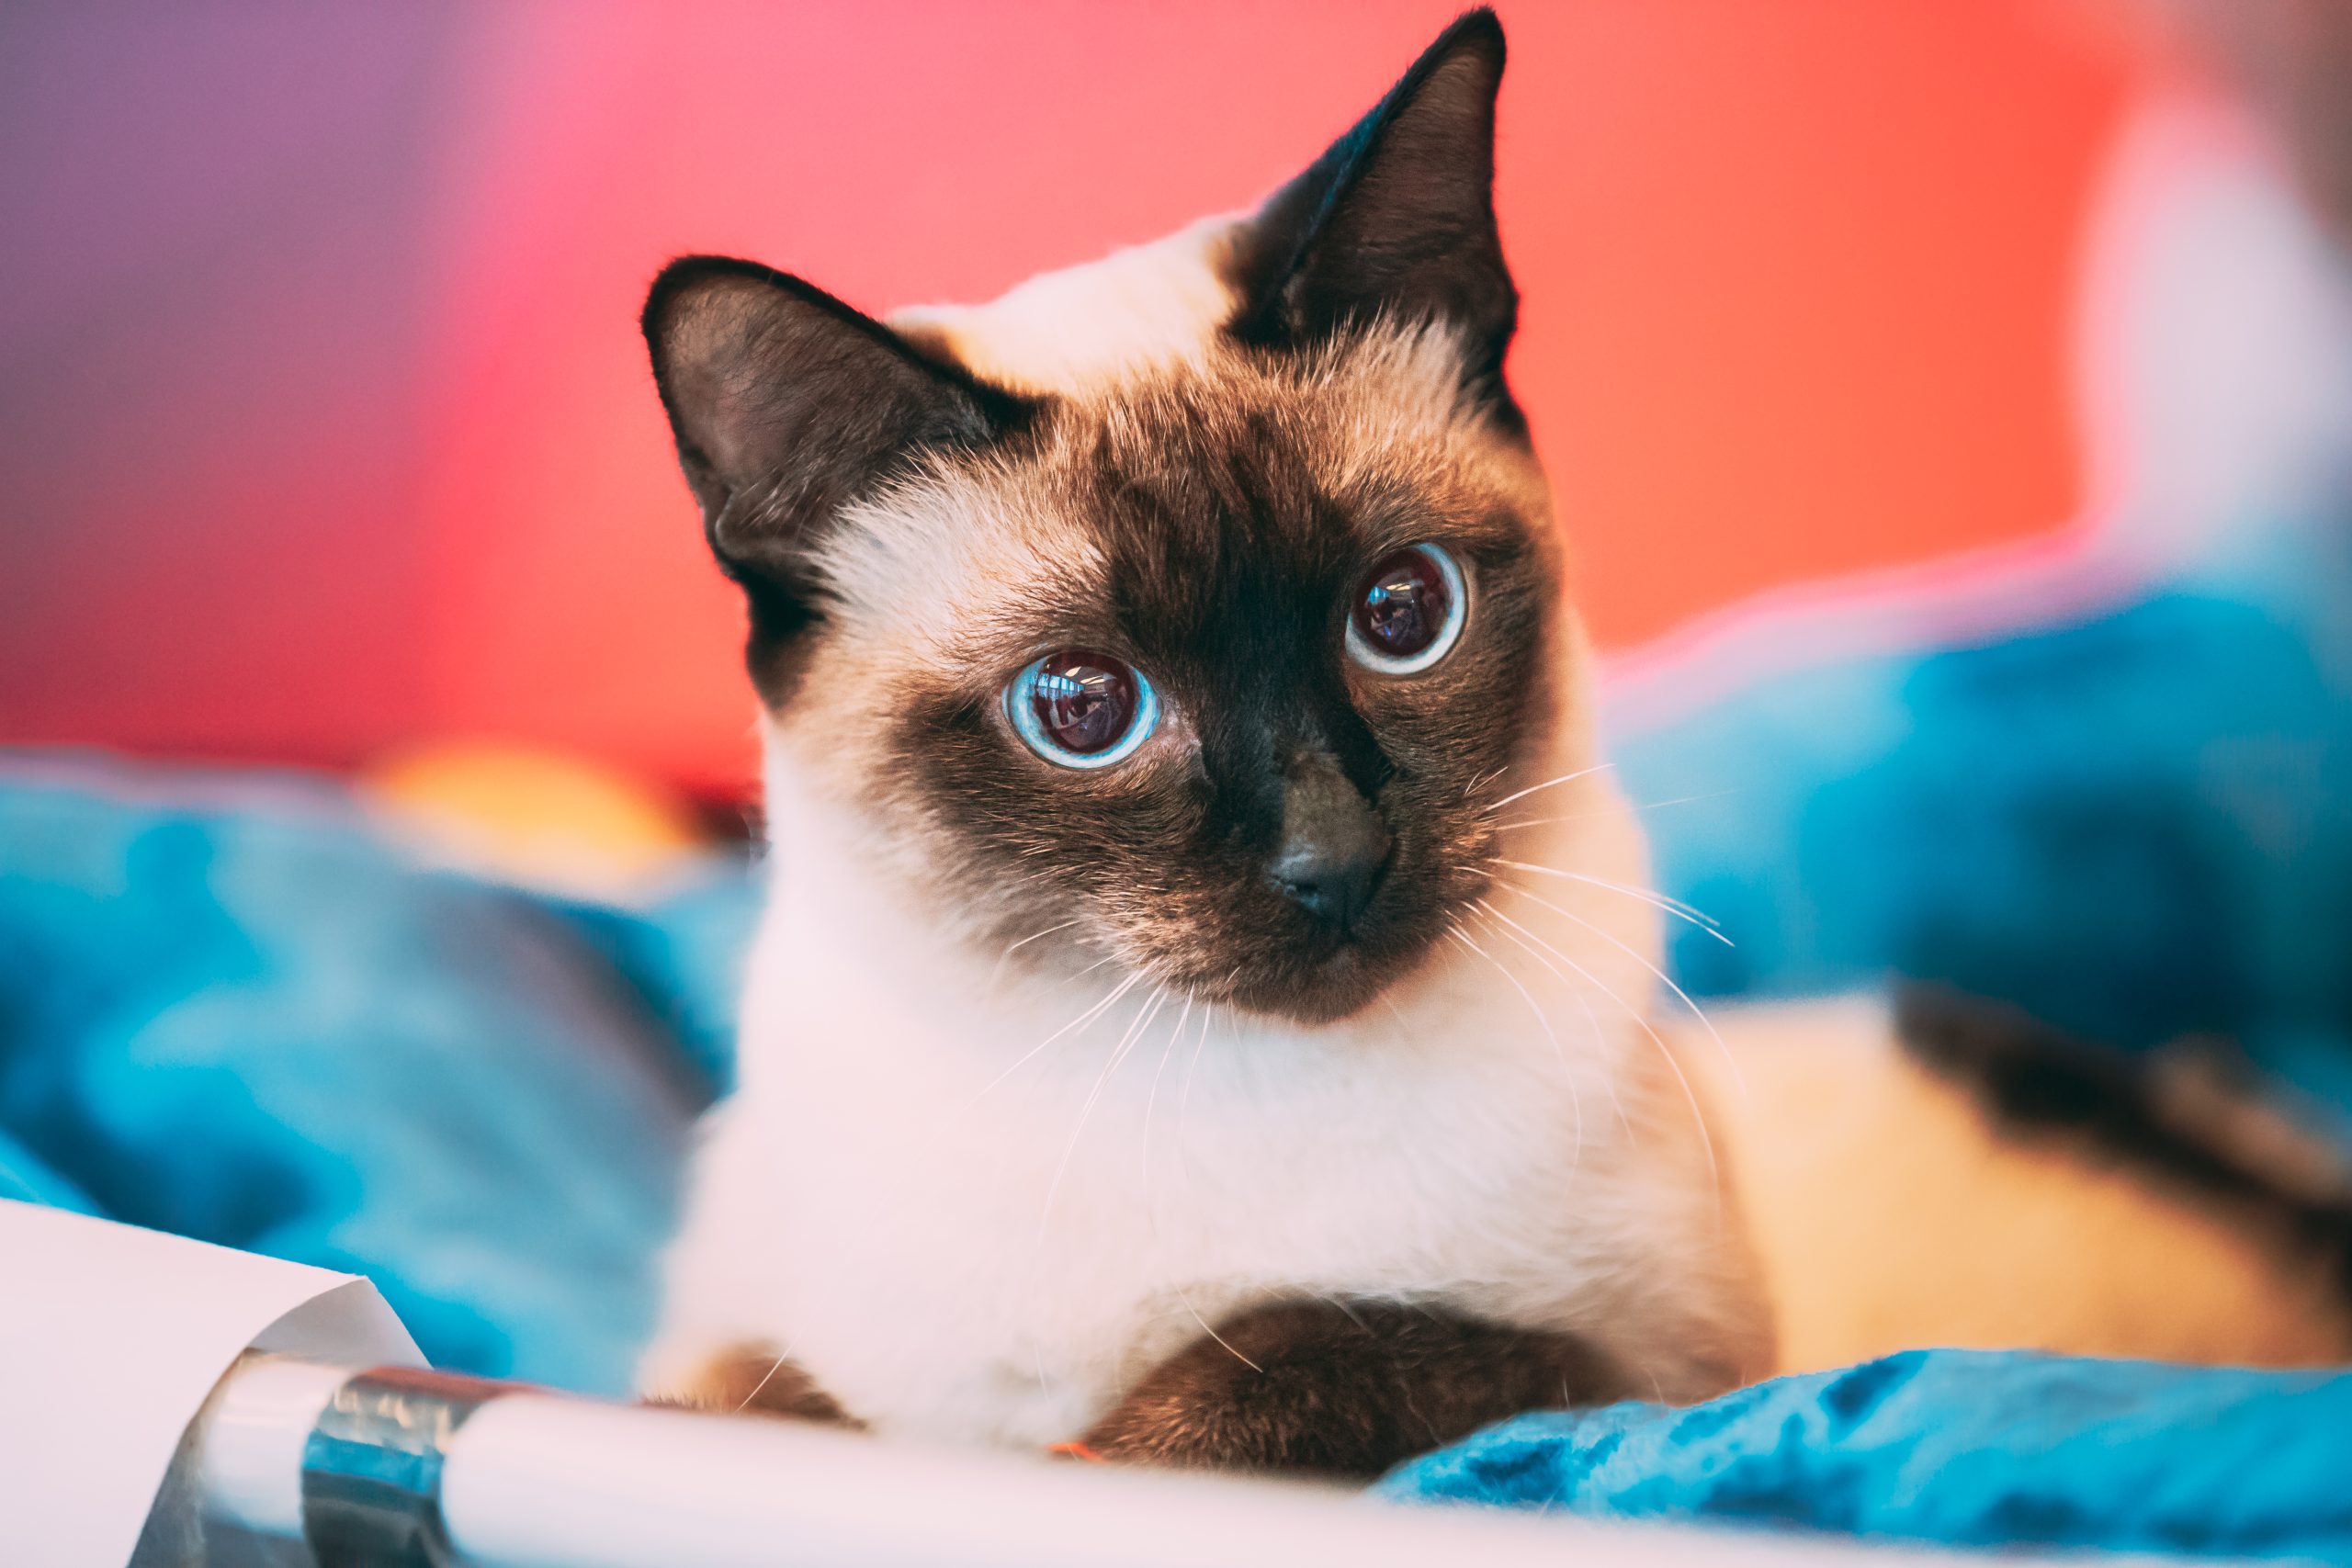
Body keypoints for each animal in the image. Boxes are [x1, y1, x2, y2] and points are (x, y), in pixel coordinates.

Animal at [635, 15, 1769, 1485]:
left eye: (1402, 614)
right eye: (1080, 706)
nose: (1334, 859)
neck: (1182, 1077)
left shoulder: (1649, 1372)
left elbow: (1318, 1348)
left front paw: (1107, 1452)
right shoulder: (729, 1349)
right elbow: (741, 1413)